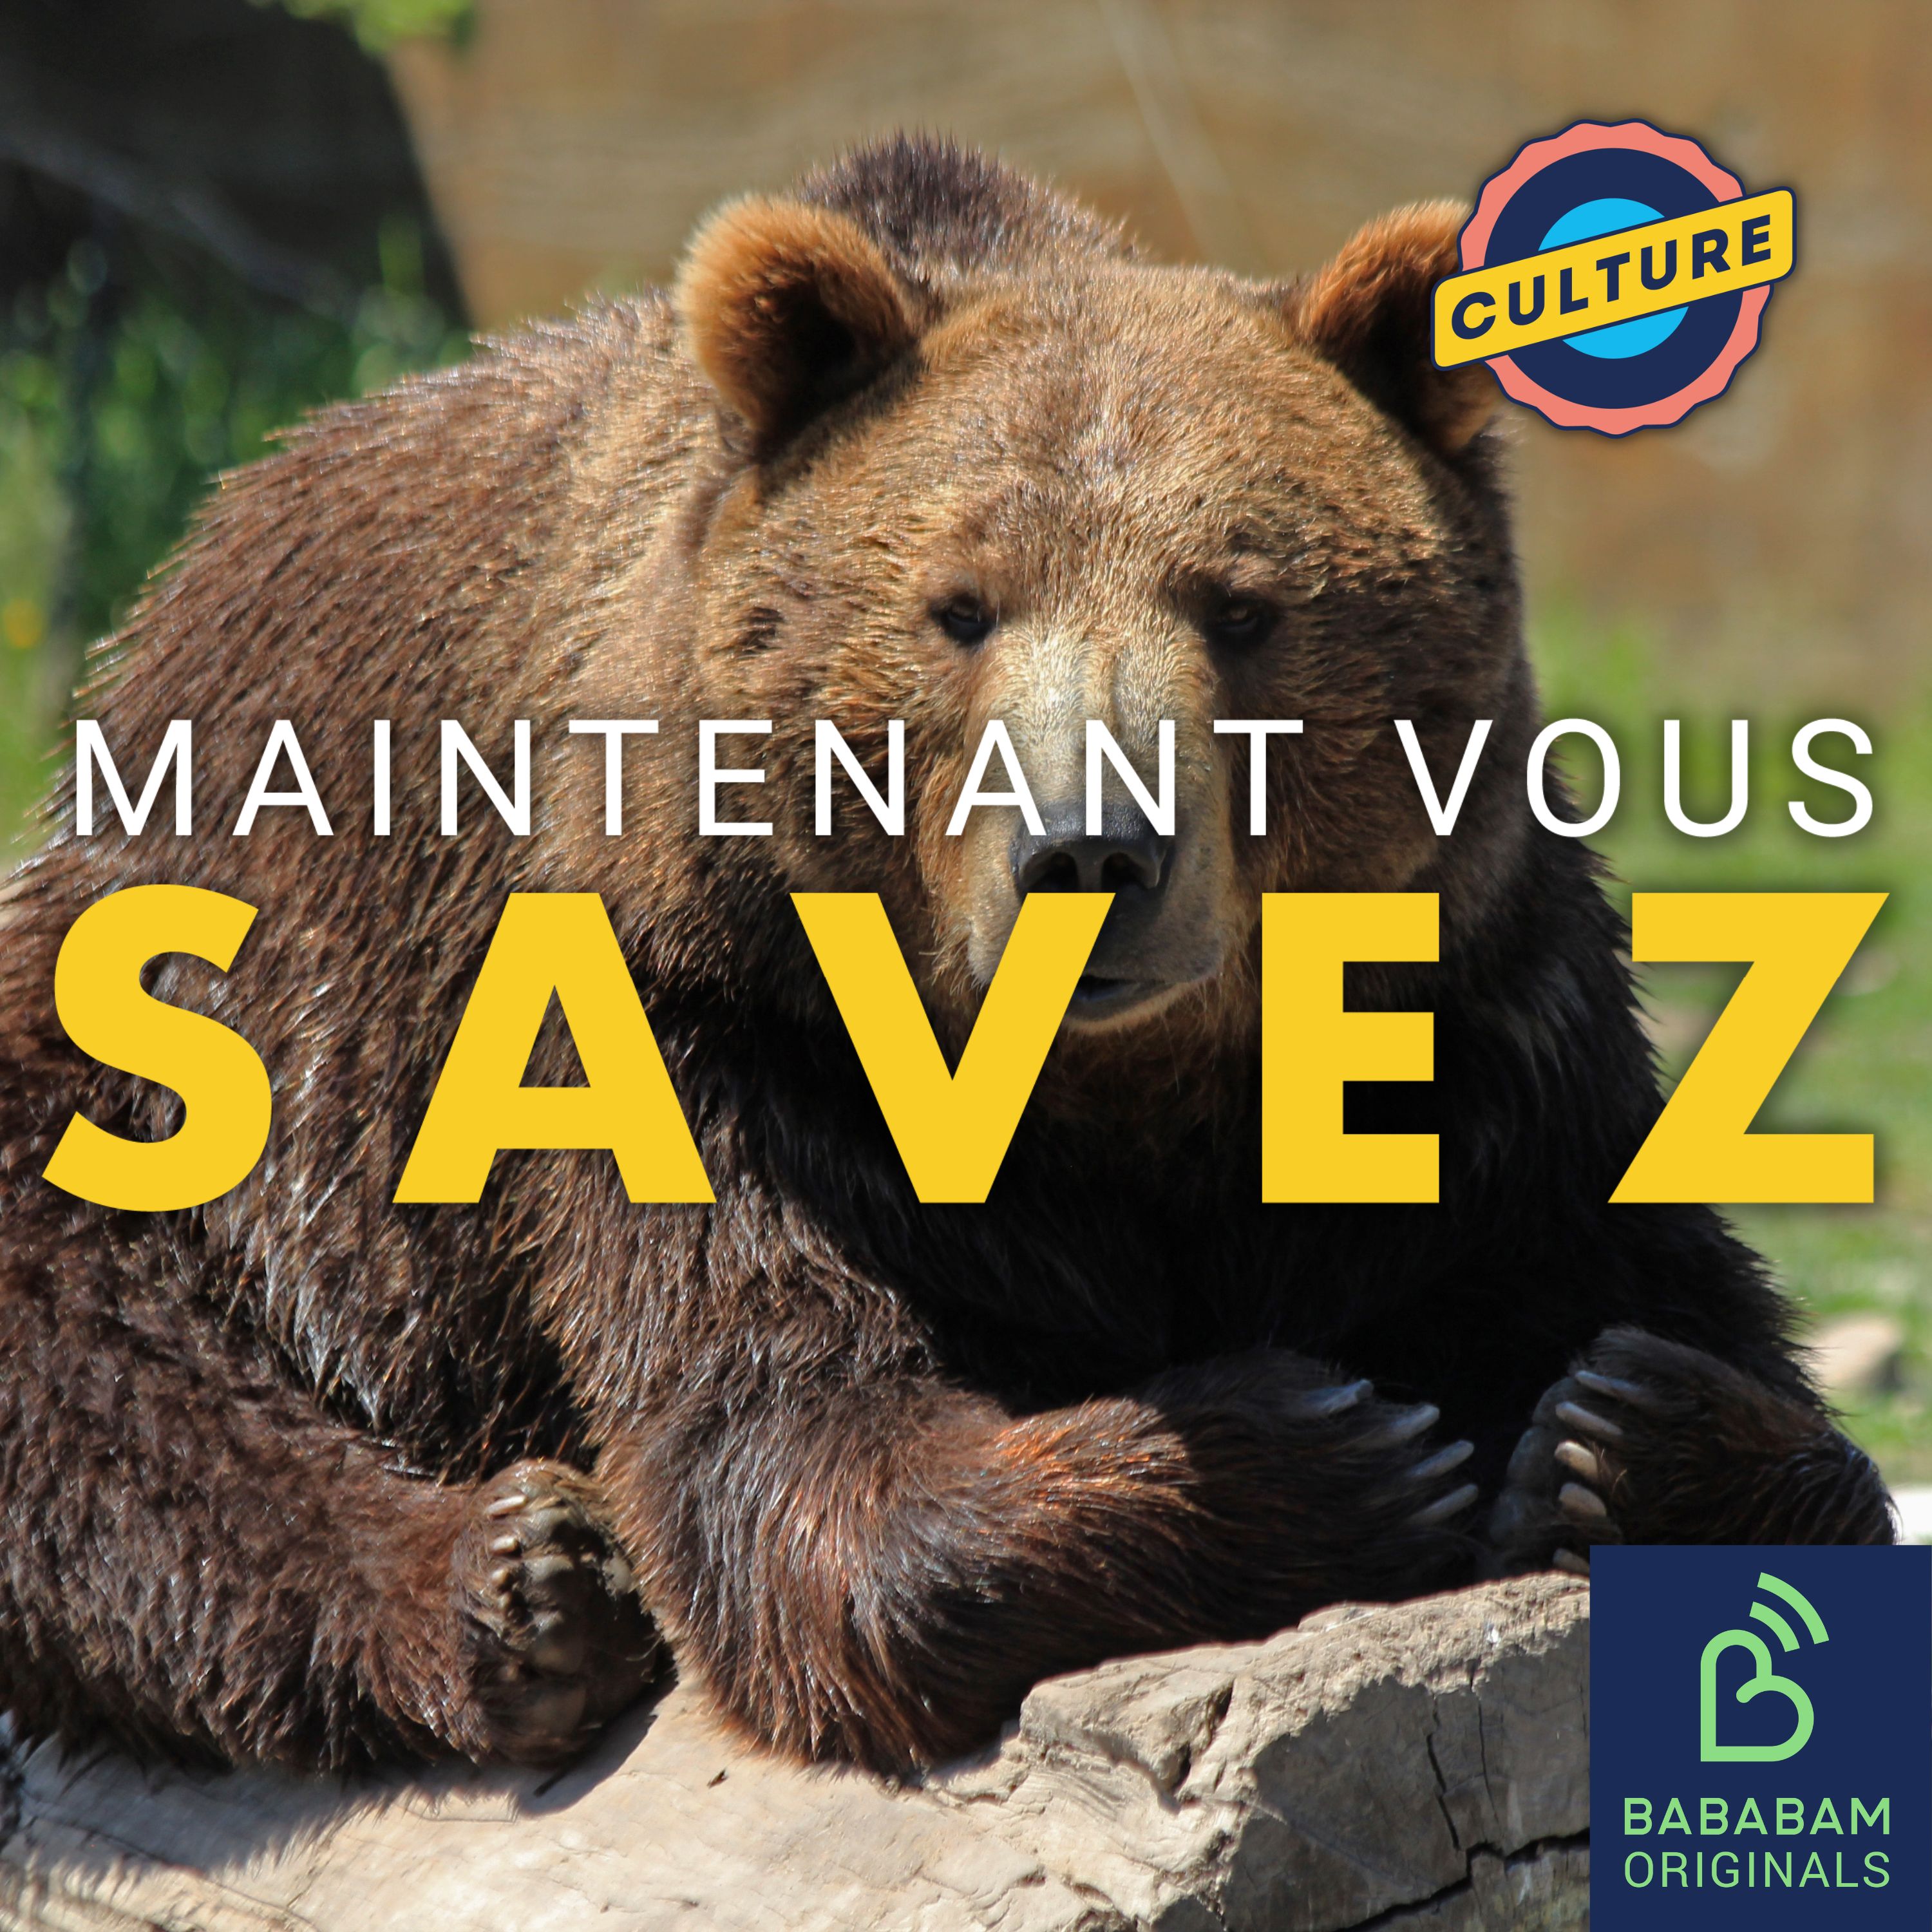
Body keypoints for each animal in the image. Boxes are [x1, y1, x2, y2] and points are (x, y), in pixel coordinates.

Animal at [0, 135, 1893, 1779]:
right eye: (959, 606)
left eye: (1243, 604)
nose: (1091, 849)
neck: (1117, 1096)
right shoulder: (711, 1035)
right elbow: (808, 1457)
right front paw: (1335, 1449)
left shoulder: (1478, 1016)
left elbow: (1677, 1313)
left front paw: (1624, 1430)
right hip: (205, 1041)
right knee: (102, 1355)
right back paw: (519, 1585)